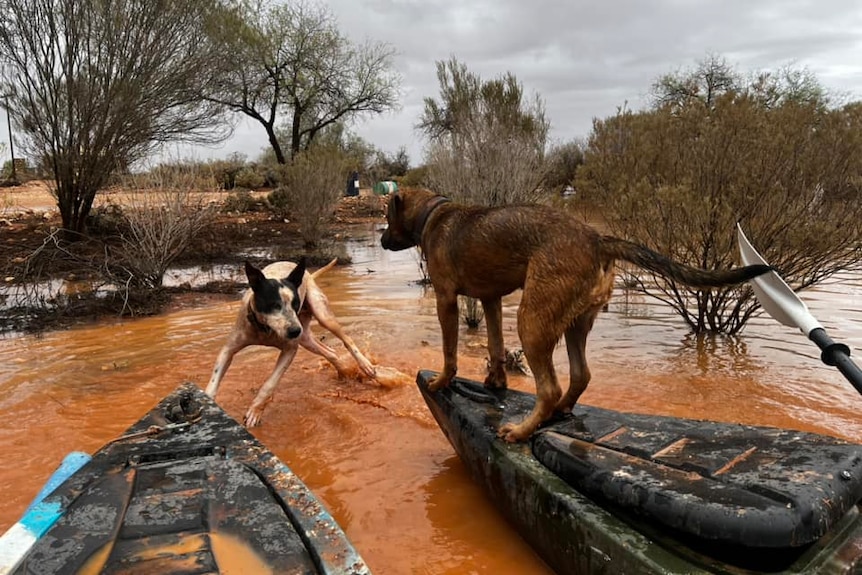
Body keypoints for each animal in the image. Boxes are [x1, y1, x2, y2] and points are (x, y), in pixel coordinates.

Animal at [209, 258, 378, 426]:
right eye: (274, 304)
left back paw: (366, 365)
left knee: (347, 339)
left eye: (295, 304)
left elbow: (270, 384)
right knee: (331, 352)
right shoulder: (228, 349)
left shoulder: (290, 350)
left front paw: (255, 412)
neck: (265, 330)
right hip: (305, 338)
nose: (295, 331)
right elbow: (213, 381)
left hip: (320, 314)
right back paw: (343, 371)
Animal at [382, 191, 772, 444]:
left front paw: (441, 381)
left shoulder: (446, 300)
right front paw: (495, 382)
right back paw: (559, 412)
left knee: (550, 387)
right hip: (574, 322)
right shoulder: (491, 299)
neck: (432, 214)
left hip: (533, 320)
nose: (383, 240)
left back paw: (521, 431)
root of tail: (597, 239)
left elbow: (449, 351)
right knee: (580, 375)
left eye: (386, 217)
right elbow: (494, 345)